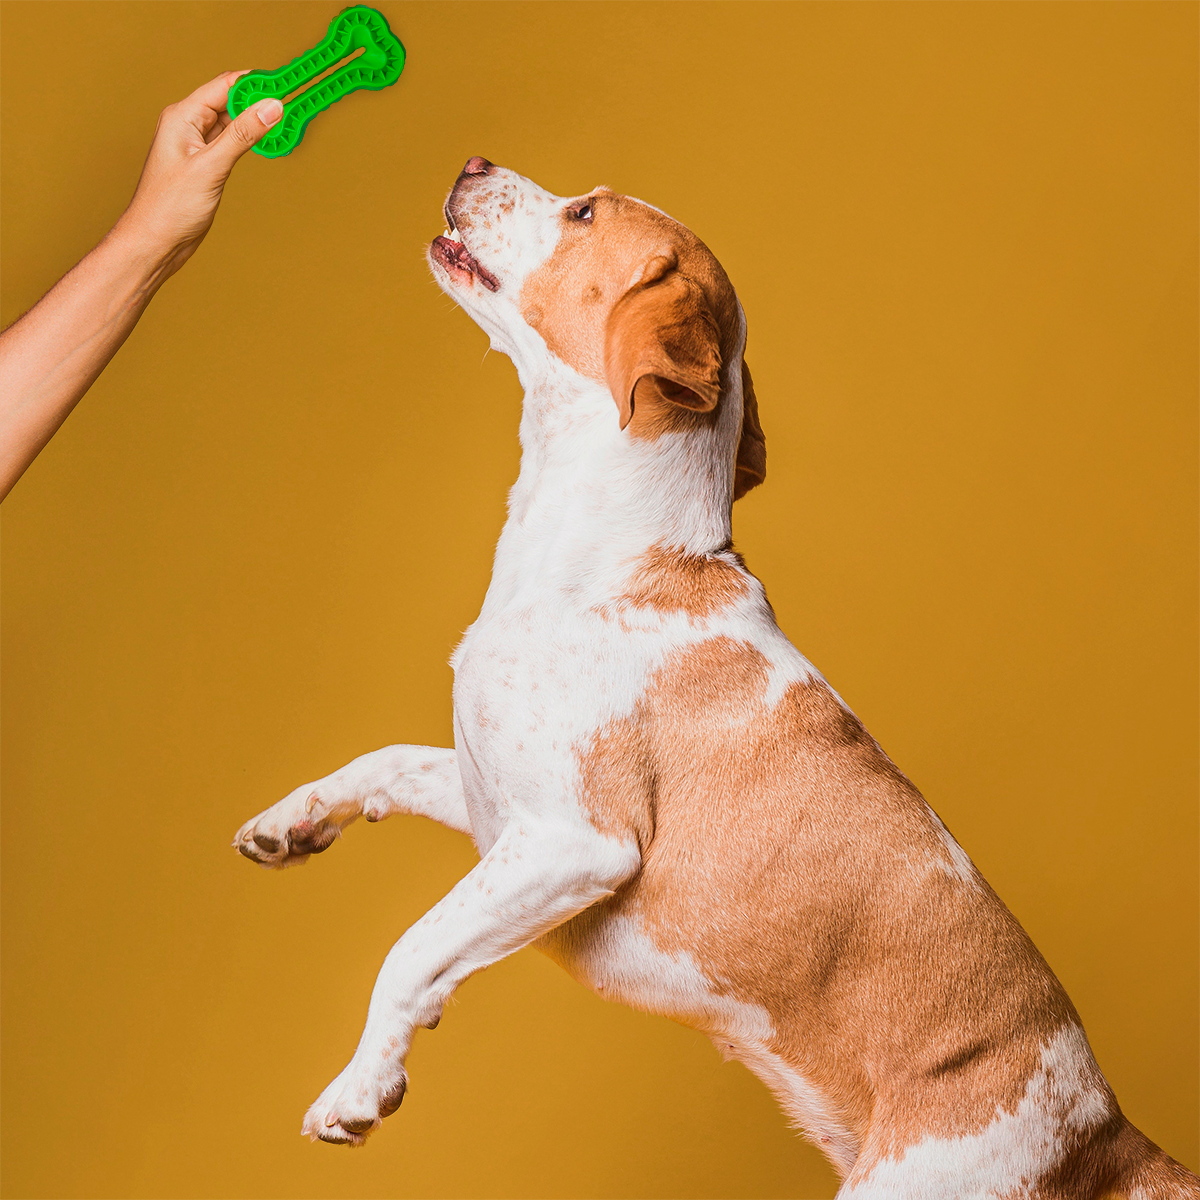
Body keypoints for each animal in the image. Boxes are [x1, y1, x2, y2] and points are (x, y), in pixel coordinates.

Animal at [236, 159, 1200, 1200]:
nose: (474, 164)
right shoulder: (500, 809)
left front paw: (361, 1088)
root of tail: (1112, 1137)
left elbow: (412, 948)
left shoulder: (574, 843)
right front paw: (292, 824)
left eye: (584, 213)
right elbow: (383, 763)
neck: (596, 554)